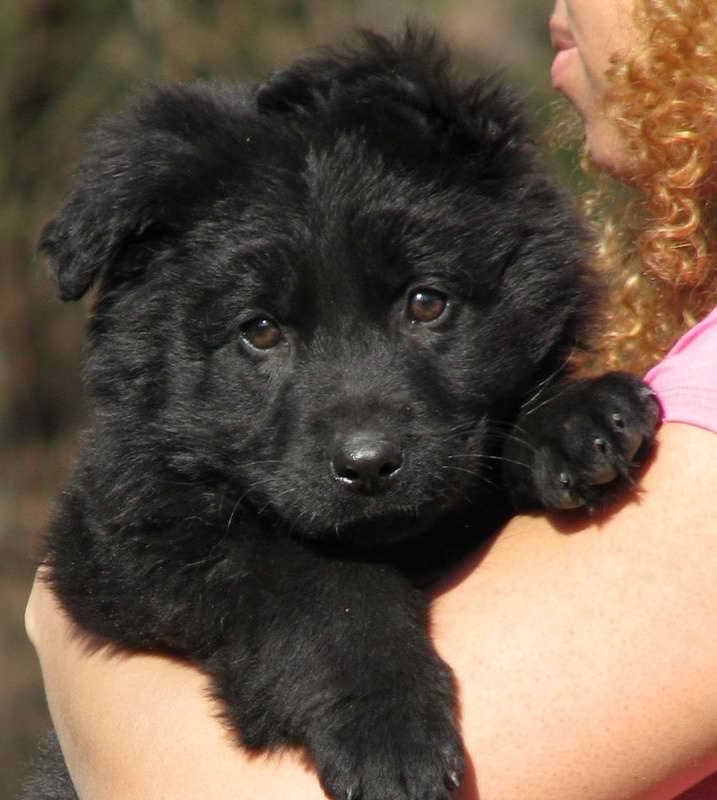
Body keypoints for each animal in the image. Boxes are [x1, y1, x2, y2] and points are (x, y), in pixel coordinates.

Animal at [29, 26, 660, 800]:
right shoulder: (132, 539)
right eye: (260, 330)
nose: (368, 467)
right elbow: (322, 585)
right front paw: (387, 728)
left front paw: (571, 420)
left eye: (426, 302)